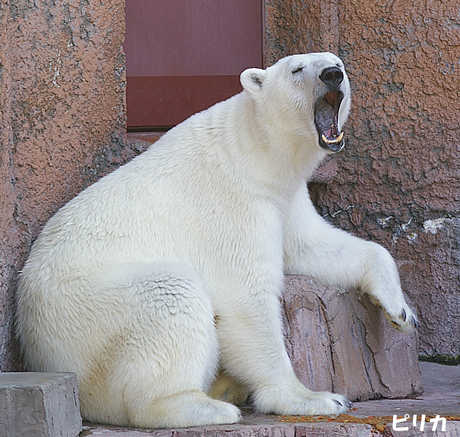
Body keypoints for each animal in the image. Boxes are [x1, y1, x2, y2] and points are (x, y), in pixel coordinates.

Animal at [15, 52, 416, 428]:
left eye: (338, 63)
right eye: (297, 69)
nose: (332, 75)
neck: (254, 150)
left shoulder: (284, 196)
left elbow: (312, 245)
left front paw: (401, 311)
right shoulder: (234, 202)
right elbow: (245, 297)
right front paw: (316, 398)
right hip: (86, 311)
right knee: (169, 294)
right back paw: (205, 405)